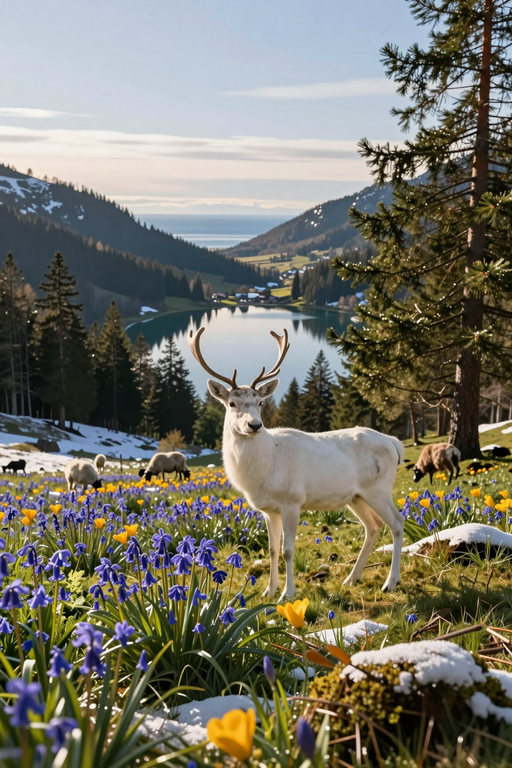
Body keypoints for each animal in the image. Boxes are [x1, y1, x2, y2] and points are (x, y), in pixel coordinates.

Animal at [188, 326, 405, 600]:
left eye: (260, 402)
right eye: (231, 403)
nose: (254, 425)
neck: (263, 473)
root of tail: (395, 443)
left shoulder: (292, 501)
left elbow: (288, 551)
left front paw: (287, 593)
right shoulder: (268, 510)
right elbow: (272, 549)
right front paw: (268, 591)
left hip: (379, 488)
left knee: (397, 523)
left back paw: (391, 582)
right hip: (357, 496)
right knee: (373, 526)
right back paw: (351, 578)